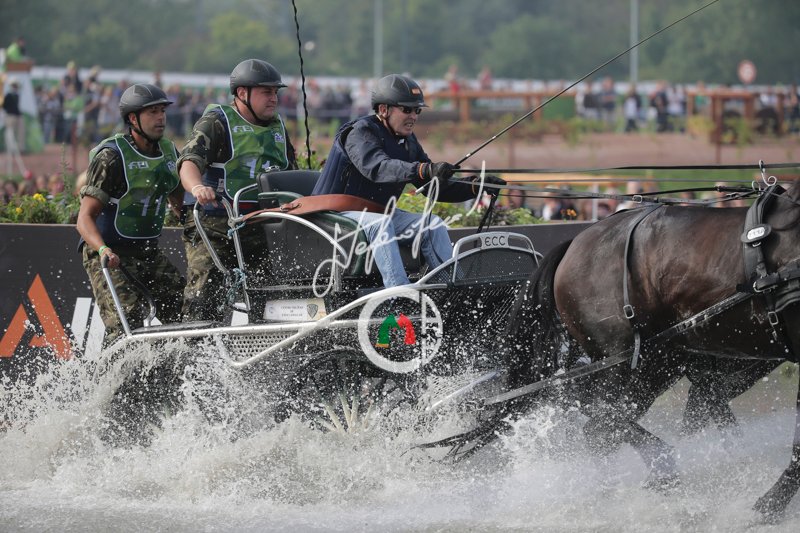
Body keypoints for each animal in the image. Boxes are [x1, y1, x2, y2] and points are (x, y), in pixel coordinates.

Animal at [498, 178, 800, 520]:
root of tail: (575, 242)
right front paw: (769, 506)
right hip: (626, 364)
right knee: (598, 425)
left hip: (656, 361)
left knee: (597, 421)